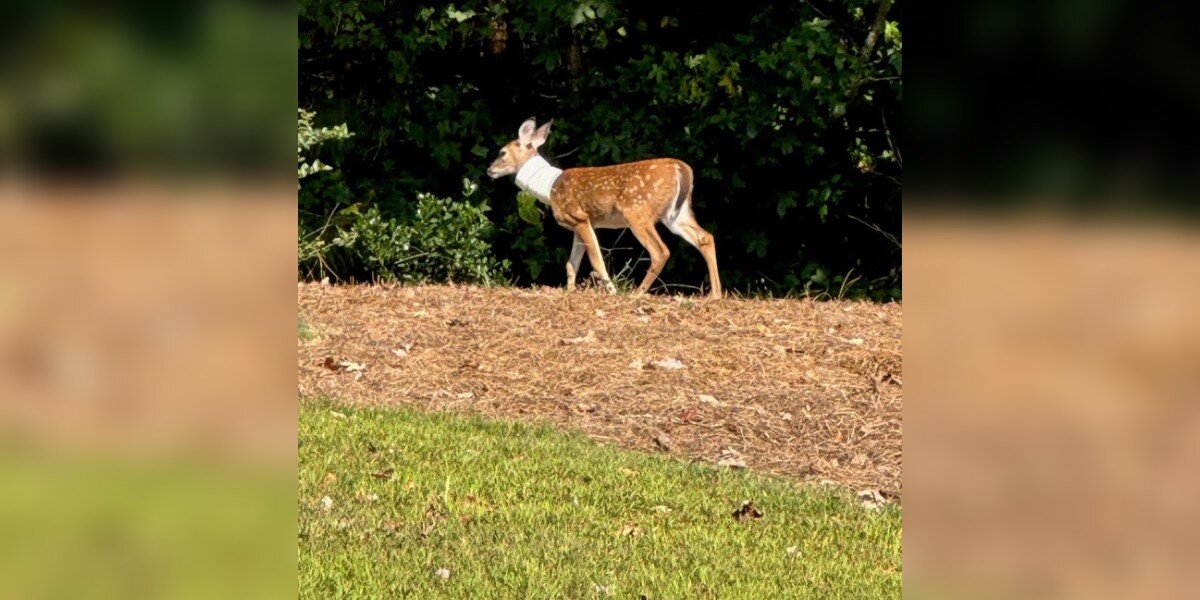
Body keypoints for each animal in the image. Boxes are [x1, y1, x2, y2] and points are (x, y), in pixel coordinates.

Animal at [486, 118, 722, 299]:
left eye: (502, 152)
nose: (489, 170)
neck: (550, 187)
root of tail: (682, 169)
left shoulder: (579, 217)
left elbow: (596, 261)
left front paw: (611, 292)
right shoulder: (578, 225)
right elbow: (571, 263)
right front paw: (570, 292)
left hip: (637, 212)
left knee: (660, 251)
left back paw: (637, 293)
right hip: (676, 214)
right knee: (706, 237)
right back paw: (716, 295)